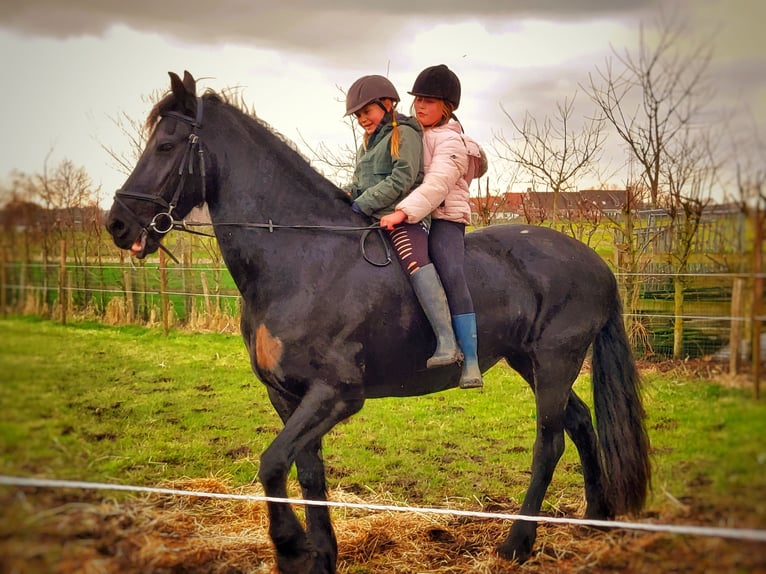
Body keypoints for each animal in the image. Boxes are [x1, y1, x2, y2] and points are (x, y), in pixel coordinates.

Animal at [105, 73, 652, 574]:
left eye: (167, 145)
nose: (117, 224)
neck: (303, 258)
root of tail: (595, 263)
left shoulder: (337, 394)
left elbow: (272, 464)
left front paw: (291, 549)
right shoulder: (287, 395)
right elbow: (307, 471)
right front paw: (321, 555)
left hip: (555, 360)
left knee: (549, 441)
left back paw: (517, 544)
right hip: (529, 361)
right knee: (580, 423)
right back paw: (596, 519)